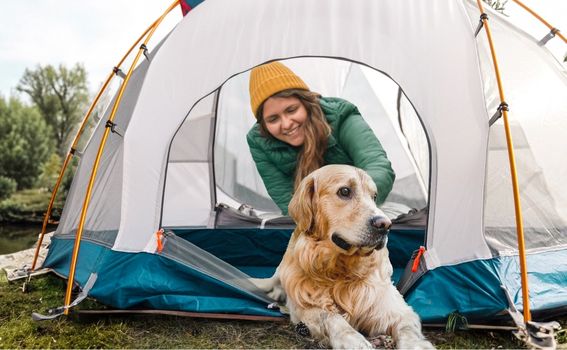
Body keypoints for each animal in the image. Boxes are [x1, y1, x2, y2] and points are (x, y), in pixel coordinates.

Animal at [253, 165, 434, 348]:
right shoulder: (307, 306)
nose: (385, 225)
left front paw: (417, 345)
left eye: (374, 196)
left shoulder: (393, 307)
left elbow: (408, 329)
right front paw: (354, 340)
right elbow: (331, 317)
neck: (340, 270)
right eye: (345, 191)